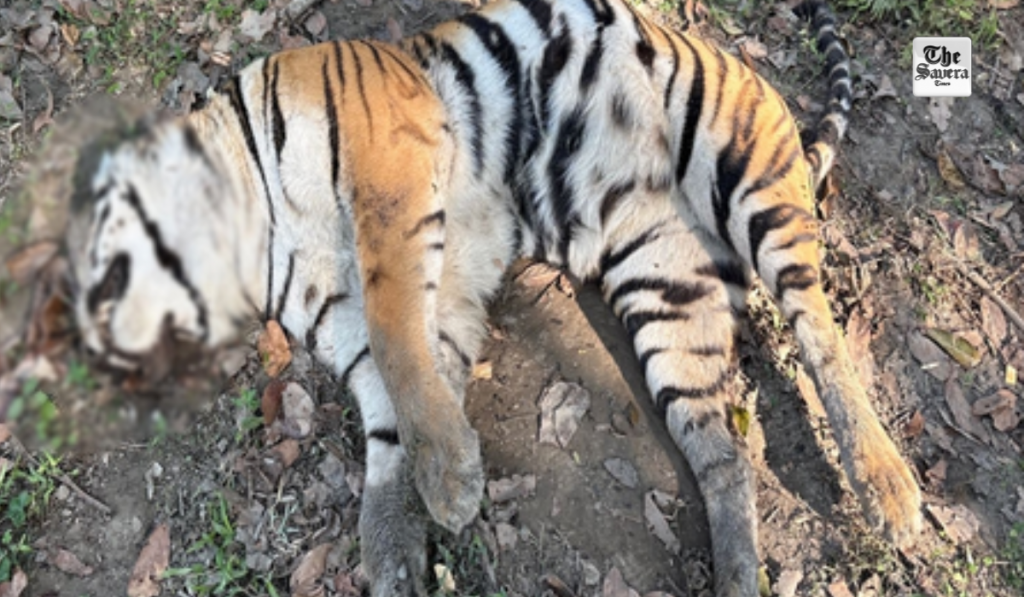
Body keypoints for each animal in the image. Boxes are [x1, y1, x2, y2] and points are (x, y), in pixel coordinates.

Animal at [51, 0, 923, 594]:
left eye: (102, 268)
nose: (92, 348)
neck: (256, 236)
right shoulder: (363, 309)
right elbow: (388, 407)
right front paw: (394, 544)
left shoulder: (388, 175)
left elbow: (400, 345)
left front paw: (450, 483)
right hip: (668, 292)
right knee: (724, 452)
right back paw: (740, 575)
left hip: (747, 179)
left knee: (821, 333)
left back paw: (889, 488)